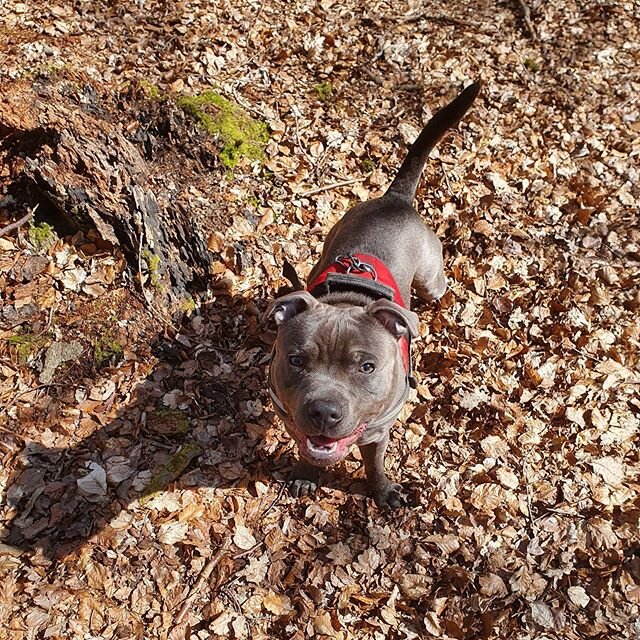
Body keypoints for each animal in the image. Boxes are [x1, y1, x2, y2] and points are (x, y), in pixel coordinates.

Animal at [264, 81, 480, 510]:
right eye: (295, 360)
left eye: (367, 367)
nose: (324, 411)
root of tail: (394, 200)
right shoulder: (290, 417)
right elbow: (304, 447)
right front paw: (306, 472)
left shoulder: (379, 431)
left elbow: (374, 464)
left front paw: (382, 491)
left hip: (431, 279)